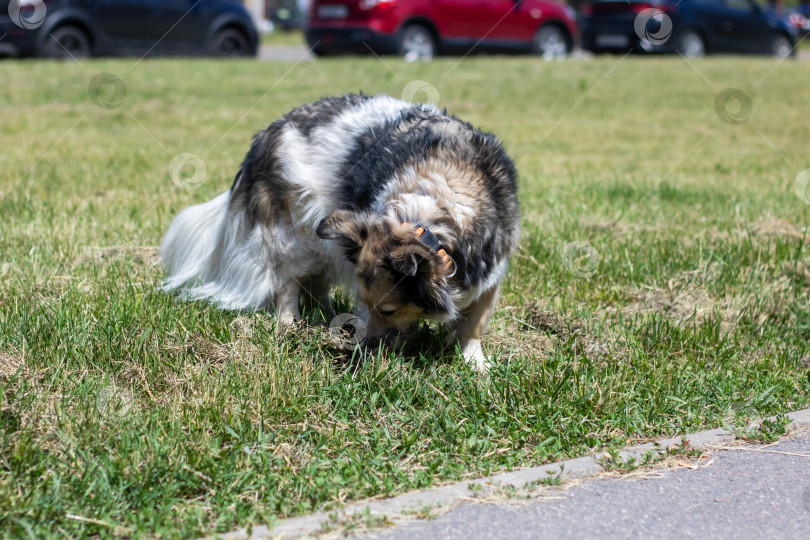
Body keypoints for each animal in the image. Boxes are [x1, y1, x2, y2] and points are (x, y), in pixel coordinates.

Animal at [161, 94, 516, 372]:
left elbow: (475, 322)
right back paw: (290, 325)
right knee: (286, 282)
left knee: (316, 281)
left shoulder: (492, 275)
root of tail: (263, 137)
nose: (367, 345)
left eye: (389, 310)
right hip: (294, 234)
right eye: (366, 304)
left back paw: (327, 315)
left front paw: (474, 362)